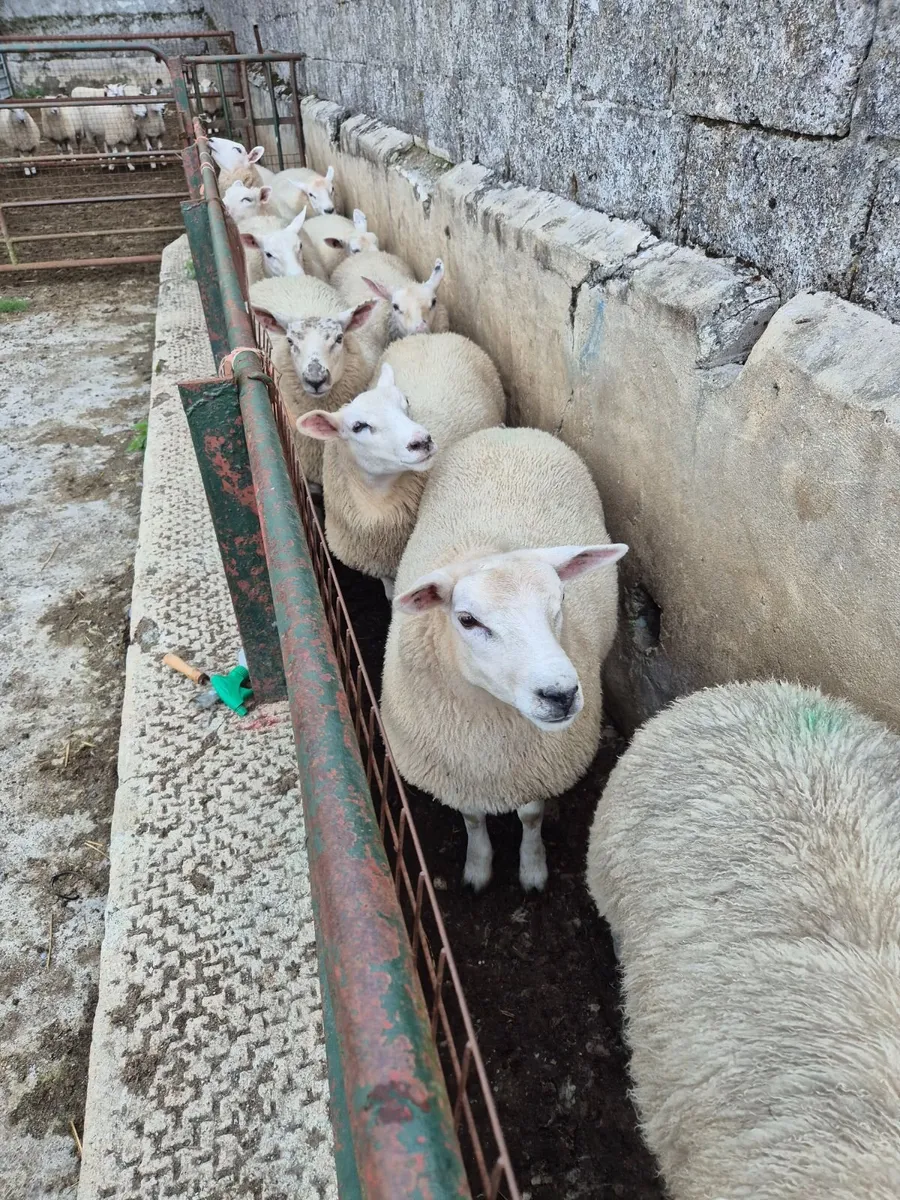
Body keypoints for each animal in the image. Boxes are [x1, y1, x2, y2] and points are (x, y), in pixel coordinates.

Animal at [297, 333, 505, 595]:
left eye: (406, 402)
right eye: (358, 426)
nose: (422, 441)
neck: (376, 504)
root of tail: (432, 335)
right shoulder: (381, 562)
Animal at [381, 426, 627, 892]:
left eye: (561, 600)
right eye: (467, 619)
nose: (560, 695)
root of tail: (510, 431)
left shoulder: (535, 770)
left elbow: (530, 816)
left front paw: (532, 868)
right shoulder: (460, 776)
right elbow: (473, 819)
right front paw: (478, 868)